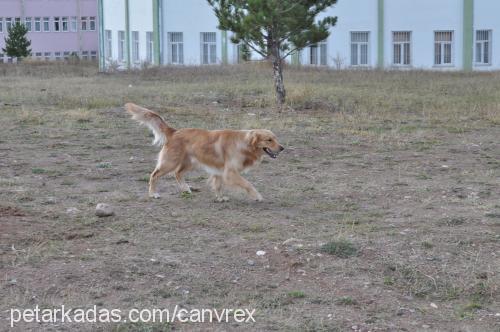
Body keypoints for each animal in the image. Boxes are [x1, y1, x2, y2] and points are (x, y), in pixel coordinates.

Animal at [124, 104, 284, 201]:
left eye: (276, 138)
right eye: (269, 140)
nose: (282, 148)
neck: (244, 144)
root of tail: (174, 131)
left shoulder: (219, 170)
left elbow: (218, 185)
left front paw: (220, 198)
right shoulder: (230, 172)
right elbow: (248, 184)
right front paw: (257, 196)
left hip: (190, 162)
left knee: (177, 173)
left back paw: (186, 189)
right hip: (170, 162)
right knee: (154, 174)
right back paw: (153, 193)